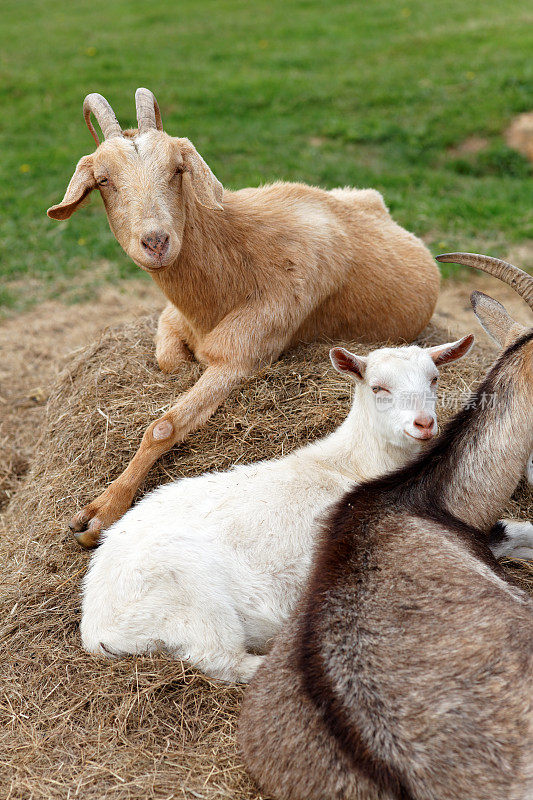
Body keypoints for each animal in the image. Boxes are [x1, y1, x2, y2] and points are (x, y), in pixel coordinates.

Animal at [0, 310, 528, 796]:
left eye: (434, 378)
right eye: (378, 387)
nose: (424, 424)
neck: (349, 464)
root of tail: (96, 624)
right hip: (192, 601)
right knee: (220, 659)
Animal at [48, 90, 440, 548]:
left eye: (178, 168)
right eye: (104, 180)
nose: (156, 242)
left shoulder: (242, 355)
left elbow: (163, 426)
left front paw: (99, 513)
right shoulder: (173, 320)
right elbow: (169, 362)